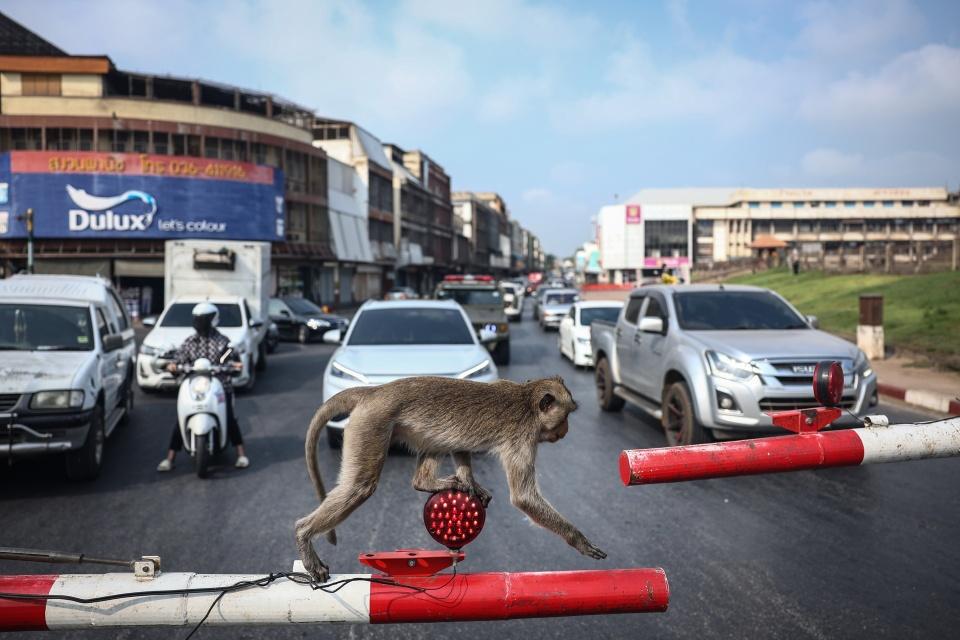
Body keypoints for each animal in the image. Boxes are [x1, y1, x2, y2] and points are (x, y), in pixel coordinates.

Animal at [294, 376, 608, 584]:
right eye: (564, 416)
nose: (565, 431)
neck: (526, 398)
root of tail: (375, 391)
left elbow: (460, 445)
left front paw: (470, 482)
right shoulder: (523, 436)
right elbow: (523, 497)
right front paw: (579, 540)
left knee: (436, 441)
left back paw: (427, 482)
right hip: (372, 424)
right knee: (360, 485)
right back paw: (303, 534)